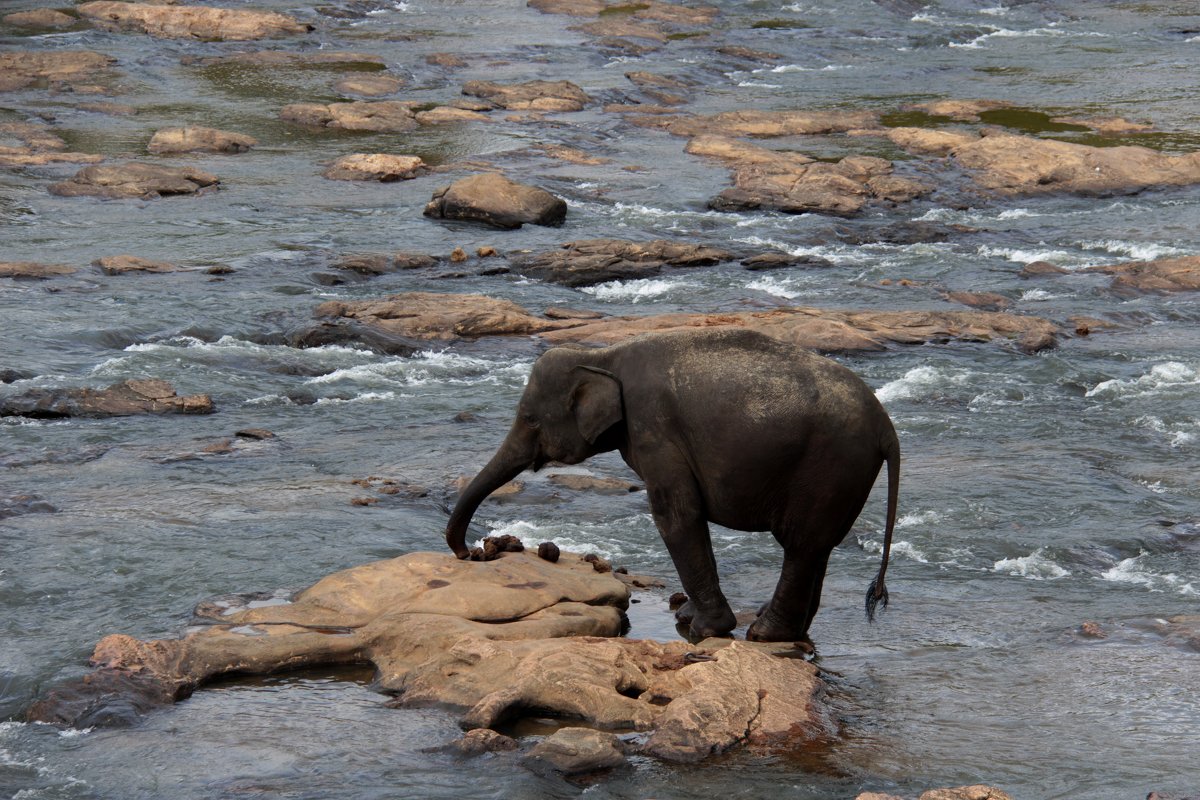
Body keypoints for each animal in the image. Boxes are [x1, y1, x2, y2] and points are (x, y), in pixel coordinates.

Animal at [446, 326, 897, 642]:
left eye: (530, 419)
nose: (471, 553)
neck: (601, 355)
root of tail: (887, 428)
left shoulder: (654, 431)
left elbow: (676, 515)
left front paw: (704, 628)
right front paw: (688, 618)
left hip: (829, 465)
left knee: (801, 546)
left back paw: (764, 633)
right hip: (842, 477)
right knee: (817, 547)